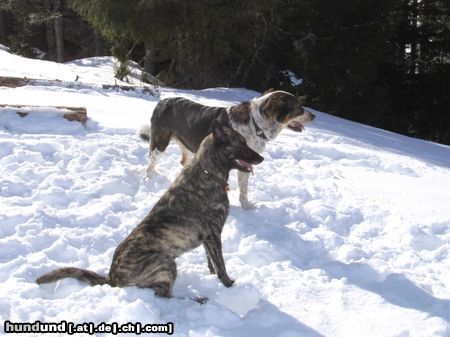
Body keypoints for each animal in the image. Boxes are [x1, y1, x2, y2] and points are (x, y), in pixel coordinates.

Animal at [38, 120, 266, 300]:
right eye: (240, 143)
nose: (262, 159)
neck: (207, 172)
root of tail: (112, 278)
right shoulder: (213, 234)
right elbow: (220, 264)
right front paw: (228, 284)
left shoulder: (208, 238)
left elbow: (211, 261)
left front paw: (211, 275)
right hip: (165, 262)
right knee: (164, 295)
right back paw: (196, 299)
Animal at [139, 90, 314, 209]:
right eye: (299, 108)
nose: (314, 116)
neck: (256, 124)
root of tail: (163, 101)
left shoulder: (244, 162)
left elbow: (244, 189)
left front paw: (246, 206)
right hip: (160, 142)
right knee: (151, 162)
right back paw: (150, 179)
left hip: (186, 145)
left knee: (183, 162)